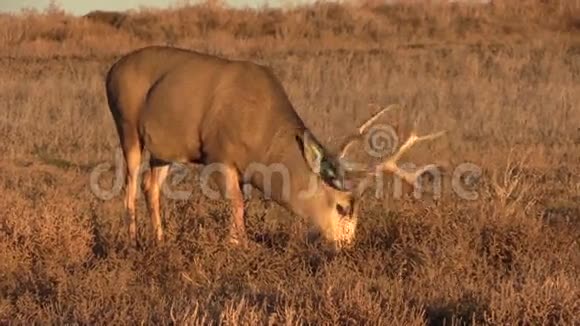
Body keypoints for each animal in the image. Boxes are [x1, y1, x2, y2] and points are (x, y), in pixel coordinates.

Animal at [104, 45, 444, 250]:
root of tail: (111, 70)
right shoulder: (219, 155)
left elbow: (242, 205)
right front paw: (239, 247)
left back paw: (161, 241)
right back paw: (133, 242)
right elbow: (236, 205)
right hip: (126, 125)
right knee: (129, 185)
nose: (346, 248)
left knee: (150, 186)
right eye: (341, 207)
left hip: (163, 150)